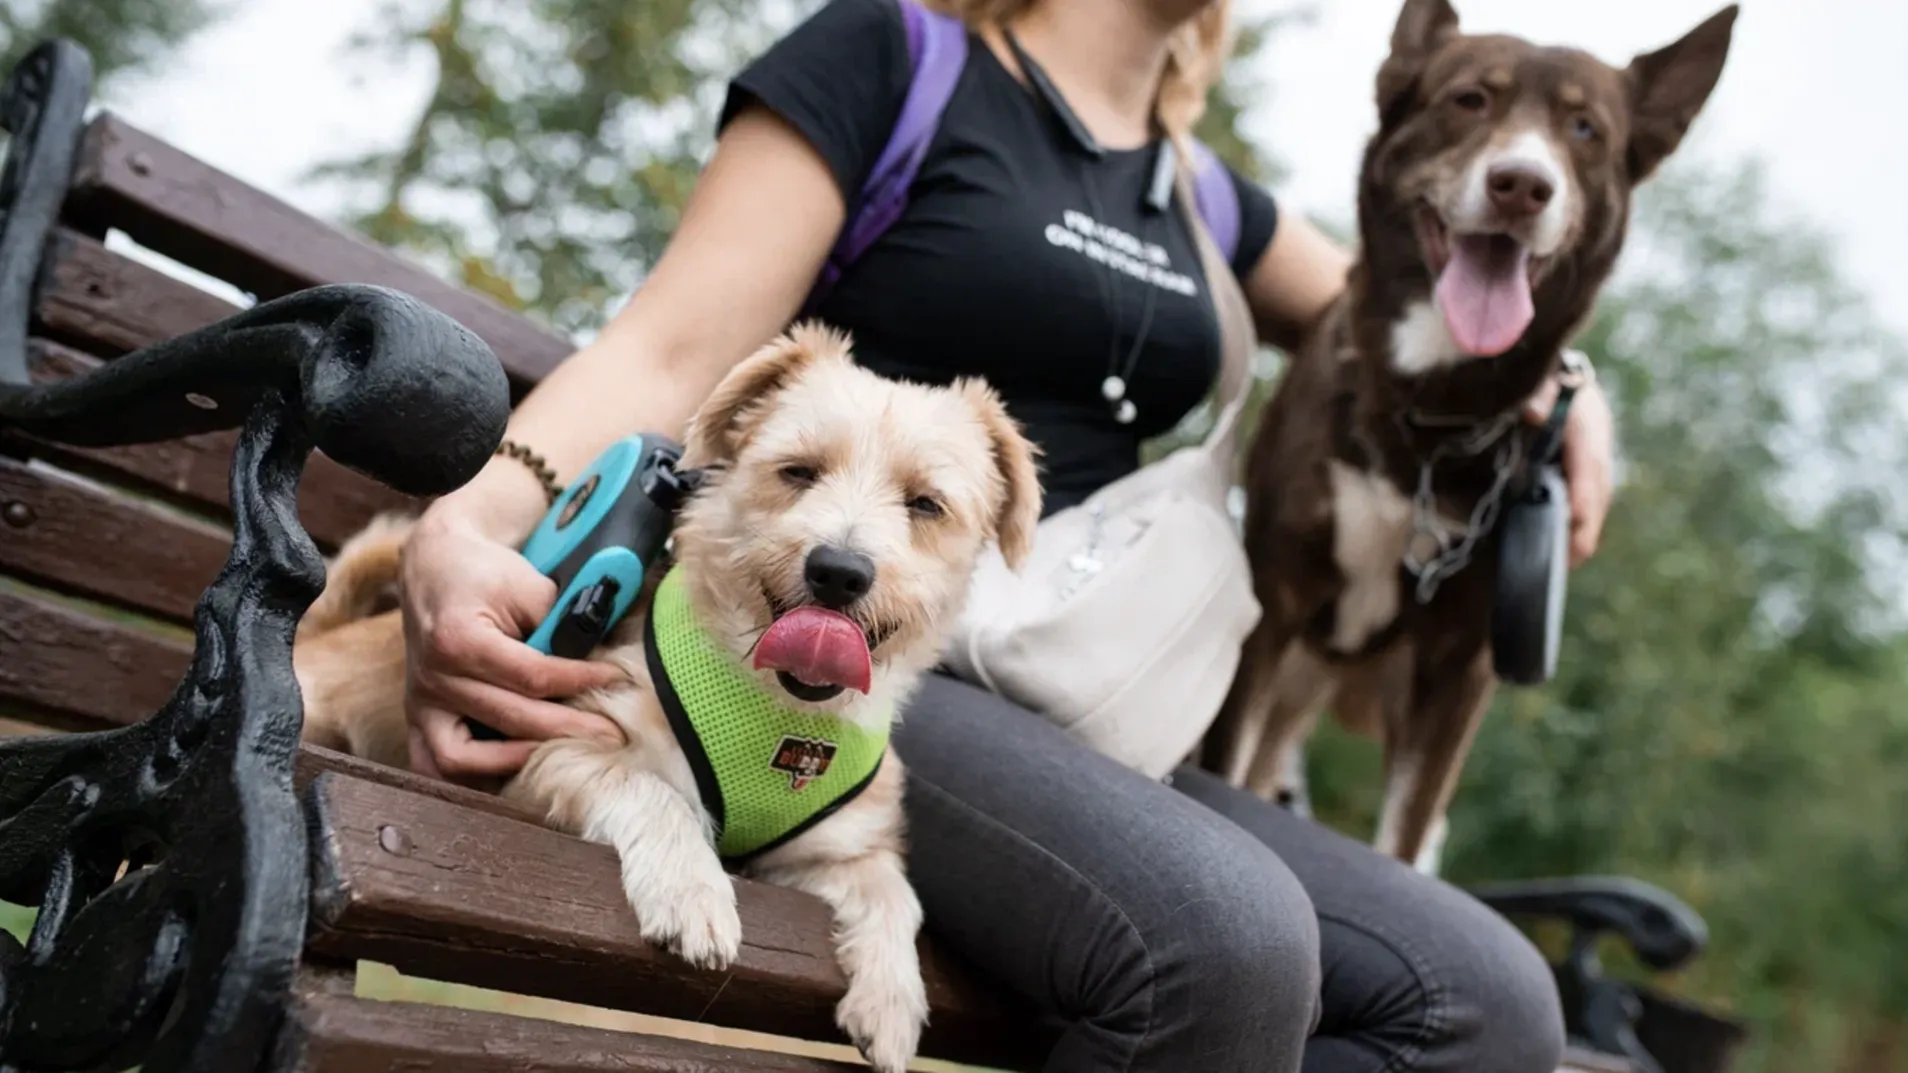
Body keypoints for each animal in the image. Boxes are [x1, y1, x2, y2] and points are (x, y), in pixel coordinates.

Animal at [293, 320, 1045, 1061]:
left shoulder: (829, 850)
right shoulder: (556, 751)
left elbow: (895, 892)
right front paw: (692, 890)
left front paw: (891, 996)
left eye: (926, 504)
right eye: (797, 471)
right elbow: (653, 790)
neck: (774, 705)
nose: (838, 569)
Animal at [1198, 0, 1740, 870]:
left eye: (1584, 128)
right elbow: (1223, 760)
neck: (1428, 413)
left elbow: (1402, 833)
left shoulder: (1458, 671)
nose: (1522, 184)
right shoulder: (1273, 605)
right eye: (1470, 100)